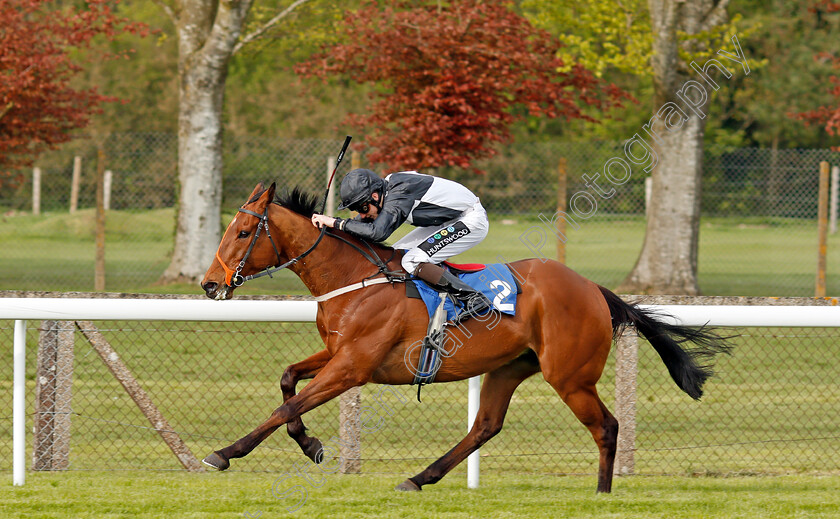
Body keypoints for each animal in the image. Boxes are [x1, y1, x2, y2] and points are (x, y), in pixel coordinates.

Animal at [200, 184, 732, 496]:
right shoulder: (337, 354)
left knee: (606, 426)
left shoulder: (353, 365)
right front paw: (310, 444)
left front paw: (226, 452)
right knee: (485, 426)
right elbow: (287, 380)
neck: (353, 279)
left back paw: (602, 494)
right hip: (510, 366)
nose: (209, 285)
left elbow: (287, 405)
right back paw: (419, 477)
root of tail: (592, 288)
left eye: (243, 231)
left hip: (570, 376)